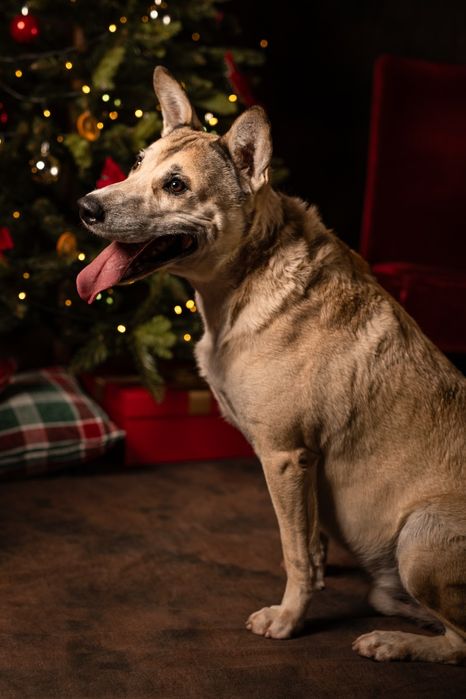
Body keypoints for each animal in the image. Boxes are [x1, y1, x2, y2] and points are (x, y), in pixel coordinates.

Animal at [77, 67, 466, 664]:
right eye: (138, 164)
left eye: (175, 185)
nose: (86, 208)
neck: (246, 277)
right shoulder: (301, 472)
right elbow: (310, 542)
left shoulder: (285, 456)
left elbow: (294, 551)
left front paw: (288, 620)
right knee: (401, 603)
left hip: (421, 534)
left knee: (459, 641)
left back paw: (392, 642)